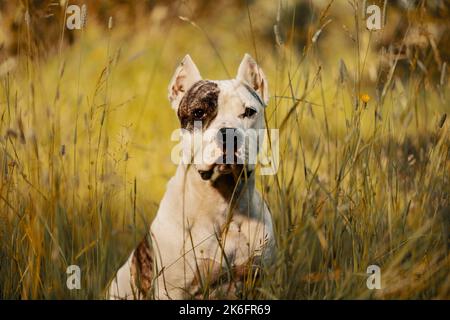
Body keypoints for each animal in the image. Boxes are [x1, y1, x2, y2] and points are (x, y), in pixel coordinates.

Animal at [110, 53, 278, 300]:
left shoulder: (259, 282)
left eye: (249, 112)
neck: (223, 204)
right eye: (199, 112)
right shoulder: (172, 290)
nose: (229, 134)